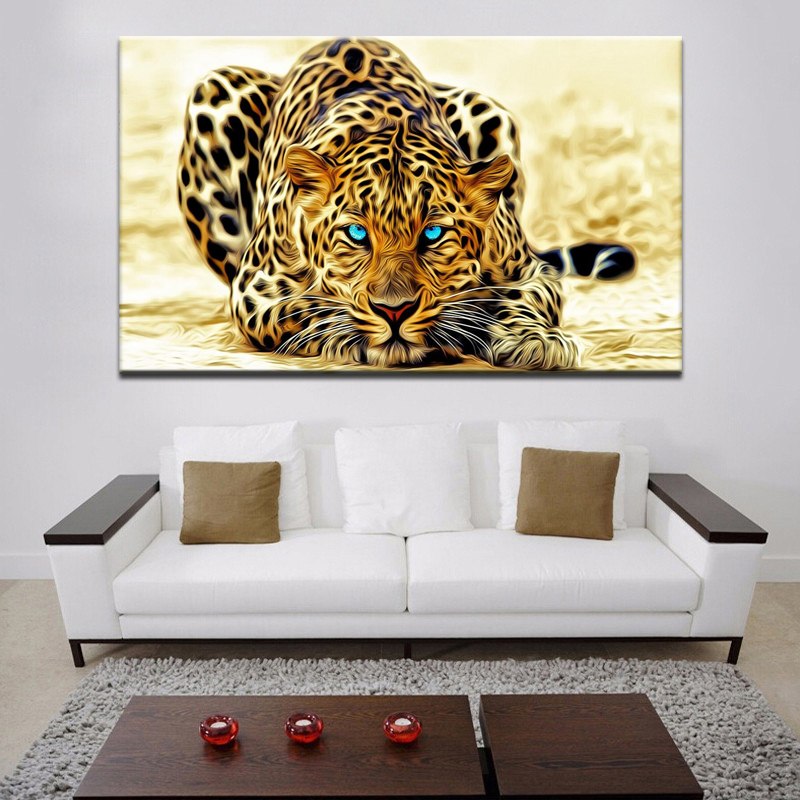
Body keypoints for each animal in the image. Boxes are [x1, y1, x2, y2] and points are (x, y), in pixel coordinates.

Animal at [177, 37, 635, 370]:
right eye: (356, 233)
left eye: (433, 233)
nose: (393, 312)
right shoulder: (255, 288)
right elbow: (308, 306)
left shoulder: (531, 272)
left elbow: (520, 299)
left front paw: (534, 339)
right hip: (215, 91)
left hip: (488, 109)